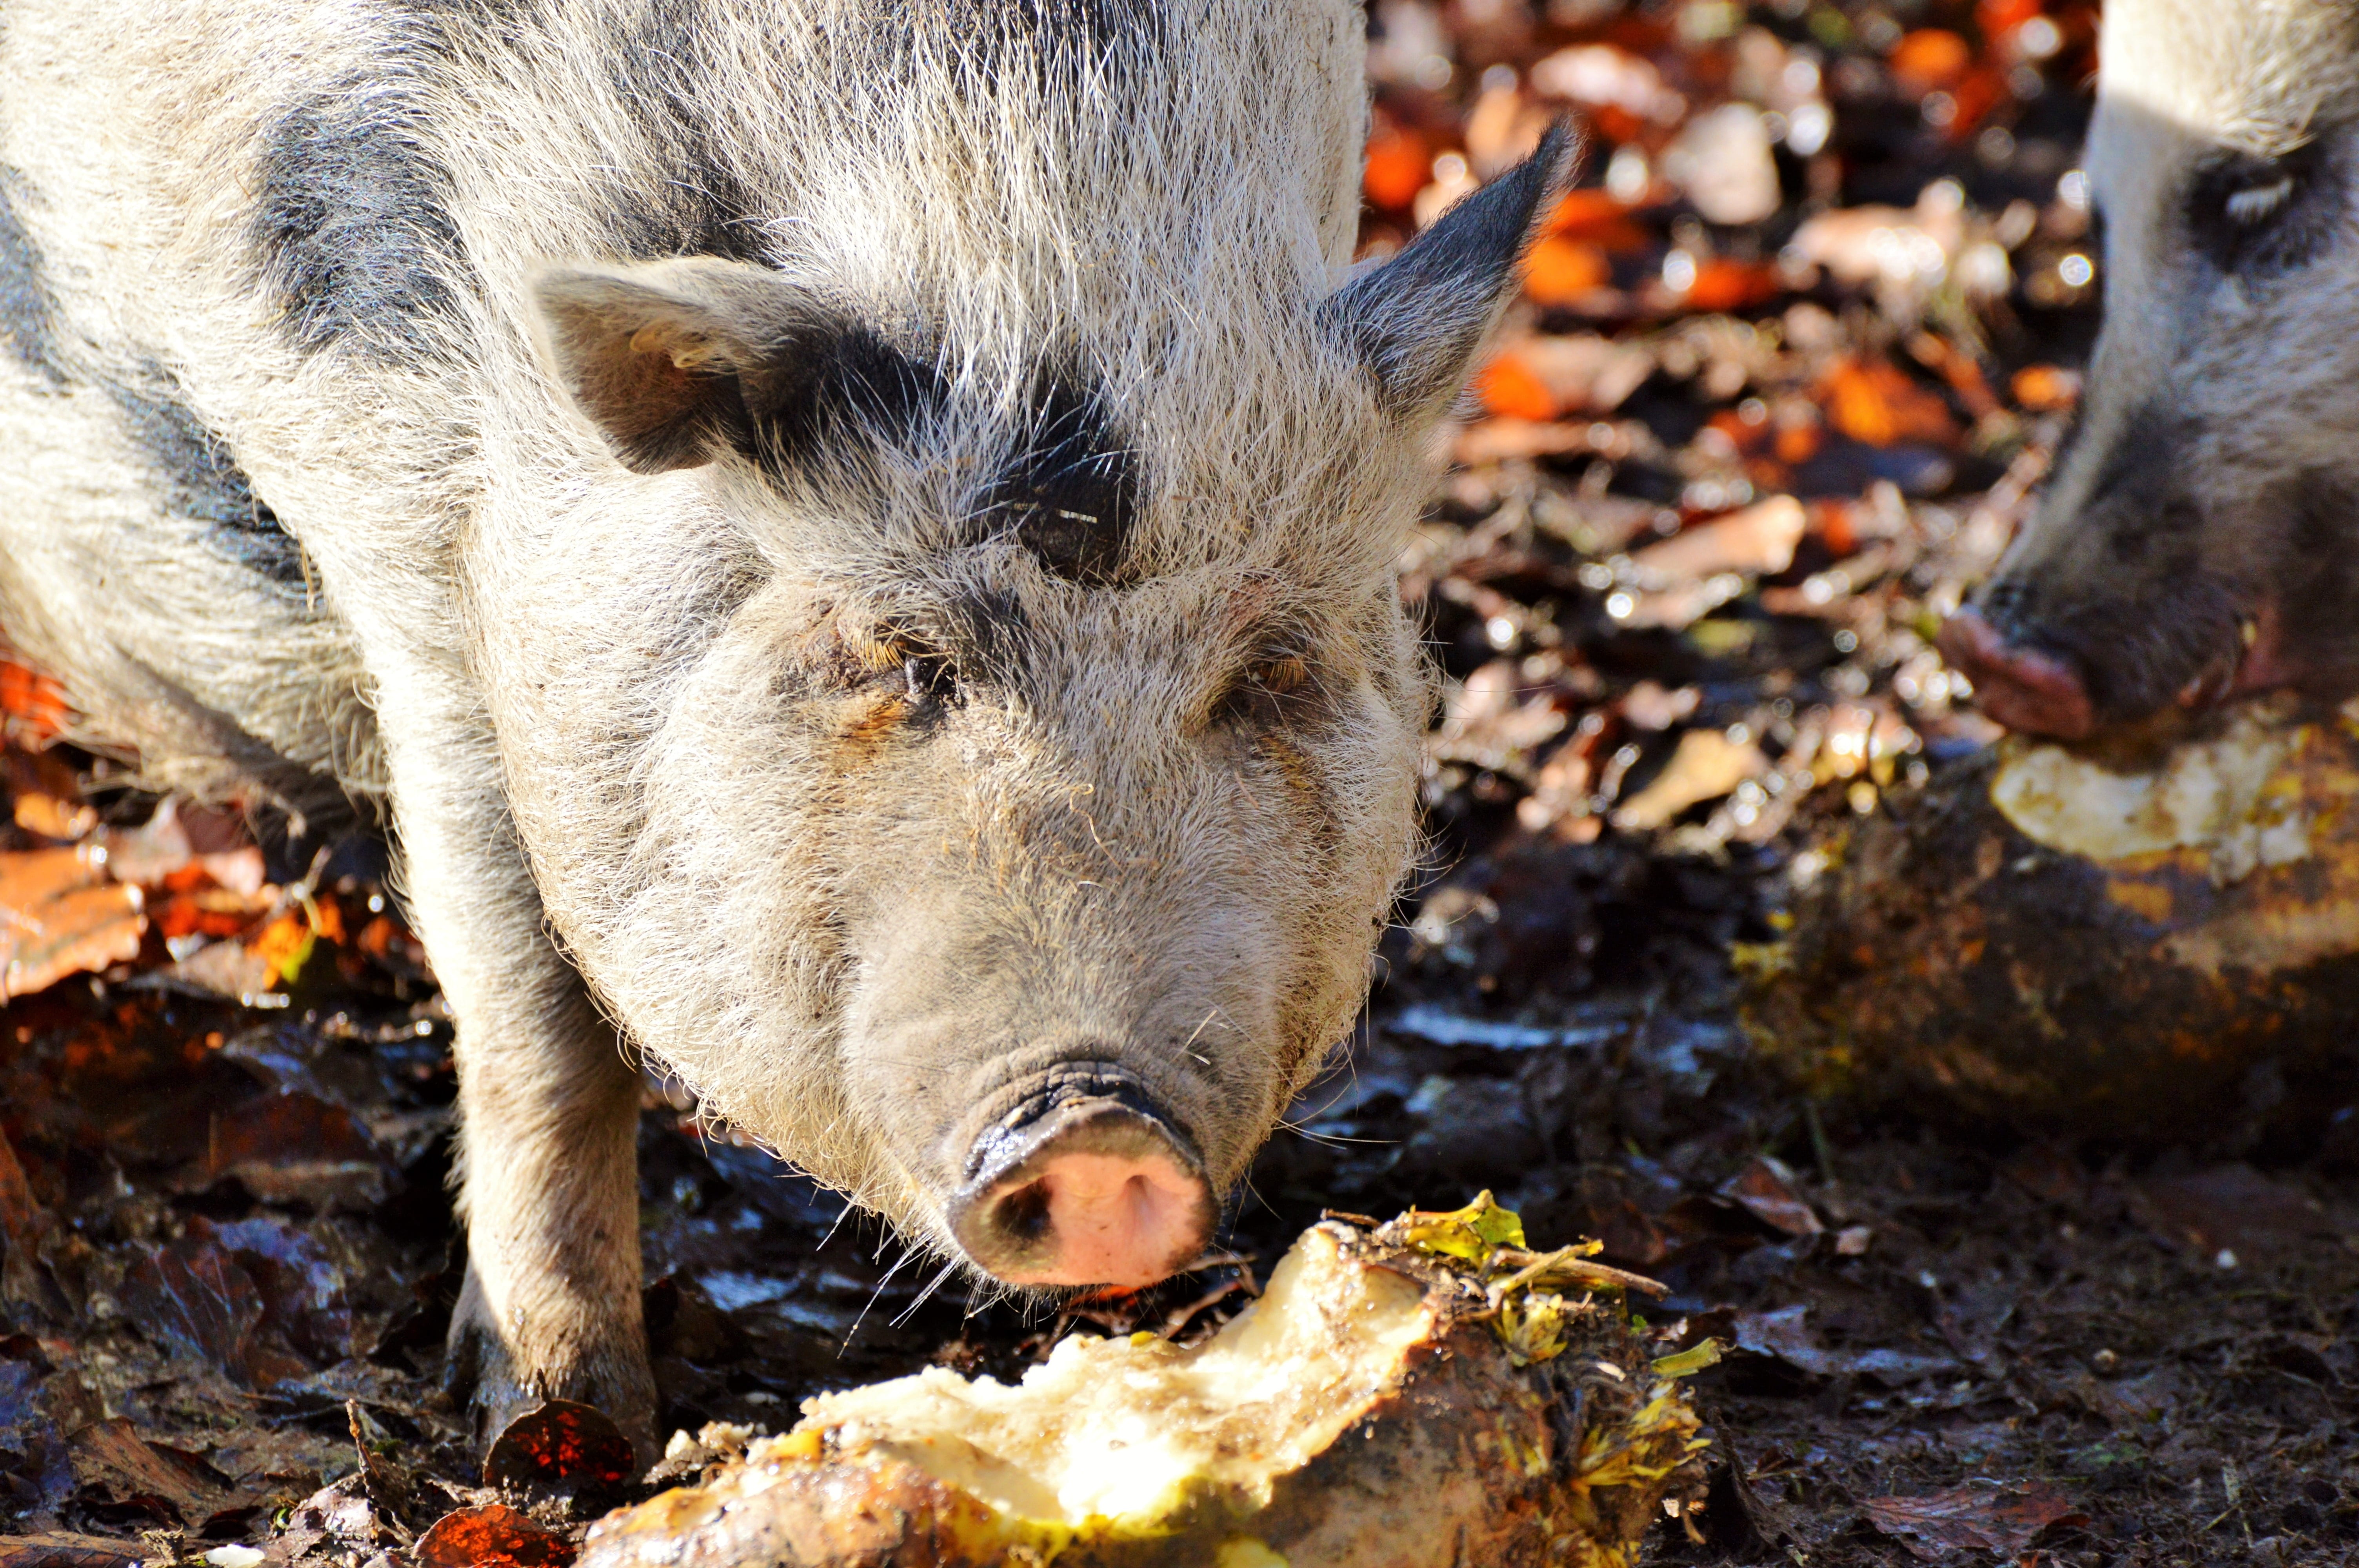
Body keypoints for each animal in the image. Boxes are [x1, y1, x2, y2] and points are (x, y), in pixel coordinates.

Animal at [0, 0, 1571, 1450]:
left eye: (1267, 666)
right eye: (904, 654)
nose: (1093, 1122)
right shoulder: (412, 569)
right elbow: (529, 1011)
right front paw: (562, 1426)